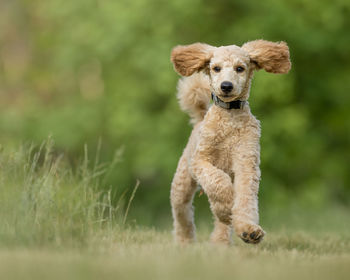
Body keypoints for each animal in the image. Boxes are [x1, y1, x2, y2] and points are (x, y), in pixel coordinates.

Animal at [169, 39, 290, 245]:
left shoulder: (246, 163)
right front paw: (227, 206)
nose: (226, 85)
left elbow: (245, 199)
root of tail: (200, 118)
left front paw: (249, 230)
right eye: (216, 68)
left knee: (221, 225)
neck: (229, 117)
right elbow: (219, 180)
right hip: (182, 182)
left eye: (240, 68)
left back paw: (221, 242)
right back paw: (185, 241)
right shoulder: (200, 161)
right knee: (182, 213)